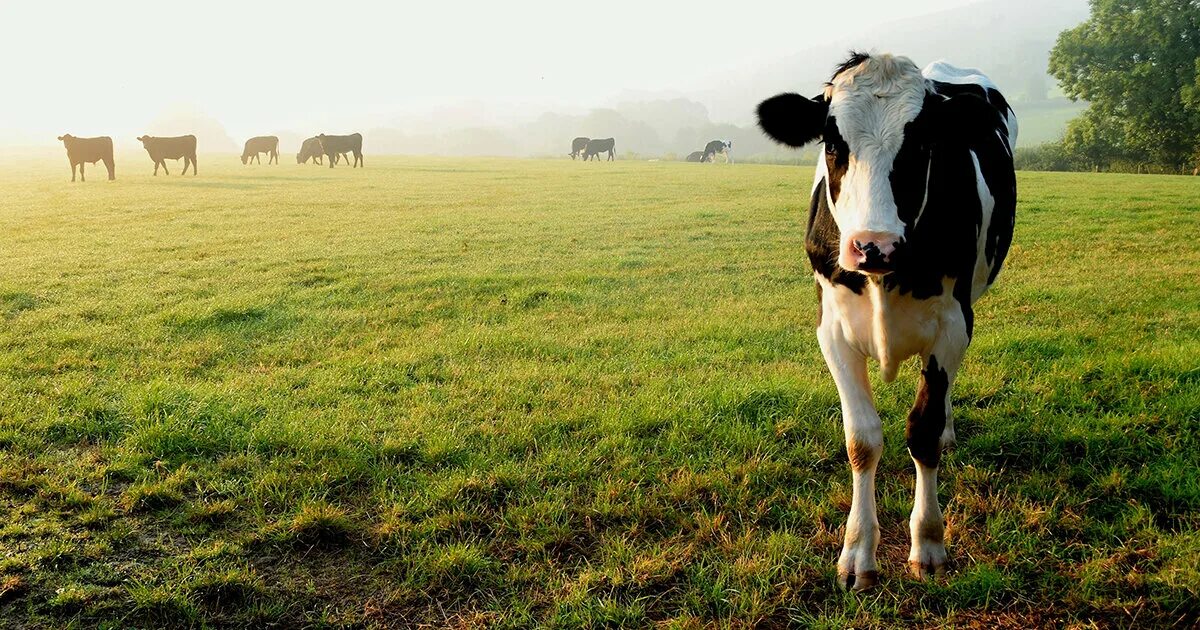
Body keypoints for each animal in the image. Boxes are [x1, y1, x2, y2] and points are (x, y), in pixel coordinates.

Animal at [753, 54, 1017, 590]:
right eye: (833, 142)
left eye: (923, 143)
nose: (874, 245)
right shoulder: (832, 329)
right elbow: (862, 440)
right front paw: (857, 551)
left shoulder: (953, 324)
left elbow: (923, 430)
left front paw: (929, 543)